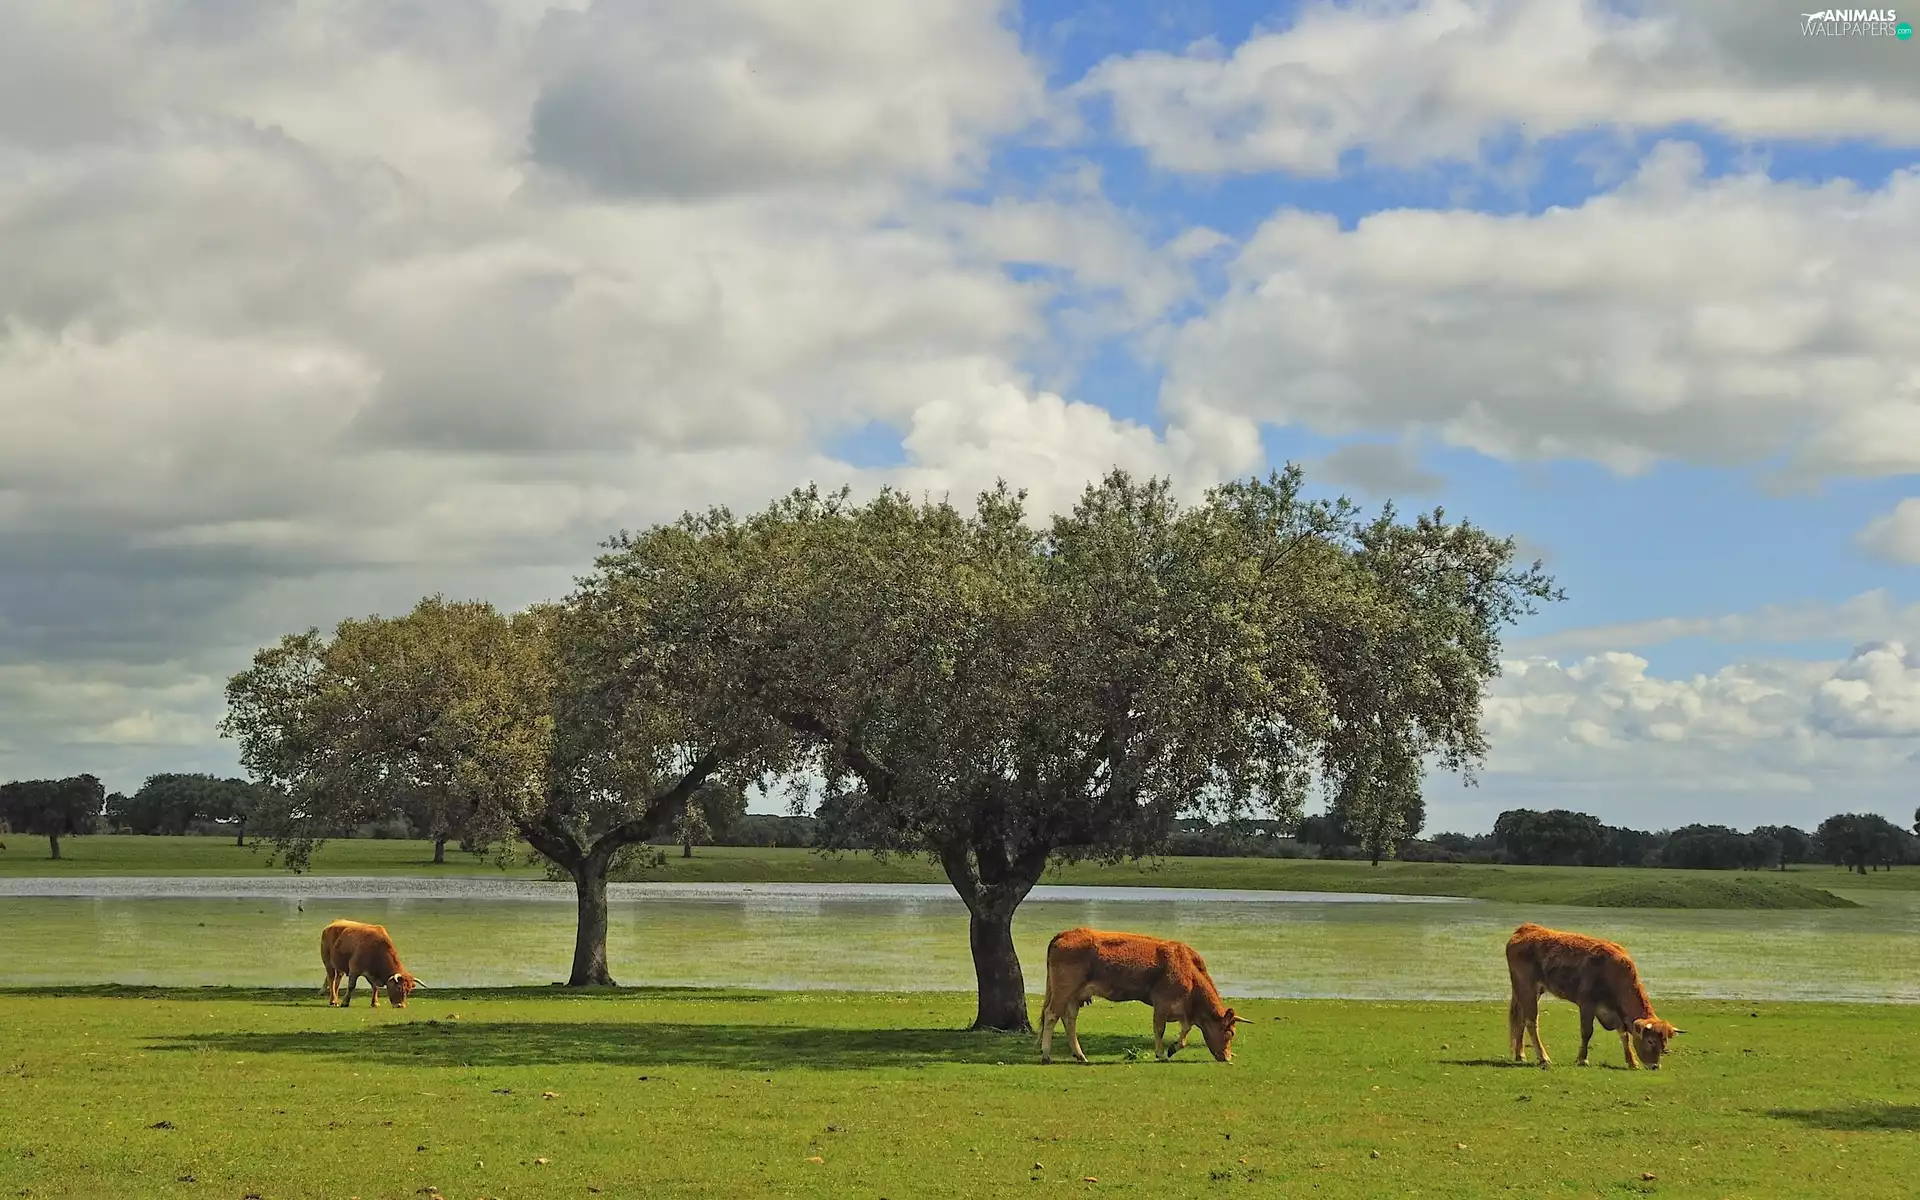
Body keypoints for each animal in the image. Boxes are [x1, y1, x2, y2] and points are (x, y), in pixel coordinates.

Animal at [1039, 927, 1247, 1065]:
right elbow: (1160, 1029)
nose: (1227, 1057)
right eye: (1230, 1033)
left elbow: (1185, 1031)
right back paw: (1046, 1054)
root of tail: (1065, 933)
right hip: (1064, 990)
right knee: (1051, 1015)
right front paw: (1161, 1053)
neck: (1188, 970)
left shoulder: (1182, 1010)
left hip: (1074, 995)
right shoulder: (1162, 1002)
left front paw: (1173, 1048)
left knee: (1069, 1019)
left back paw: (1080, 1055)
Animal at [1505, 922, 1682, 1070]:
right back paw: (1543, 1058)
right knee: (1531, 1021)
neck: (1613, 972)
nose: (1655, 1066)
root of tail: (1525, 929)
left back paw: (1520, 1055)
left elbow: (1624, 1035)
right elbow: (1587, 1032)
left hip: (1529, 992)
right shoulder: (1587, 1004)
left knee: (1521, 1019)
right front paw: (1582, 1059)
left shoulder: (1614, 1012)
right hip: (1527, 988)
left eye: (1664, 1043)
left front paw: (1632, 1061)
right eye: (1650, 1041)